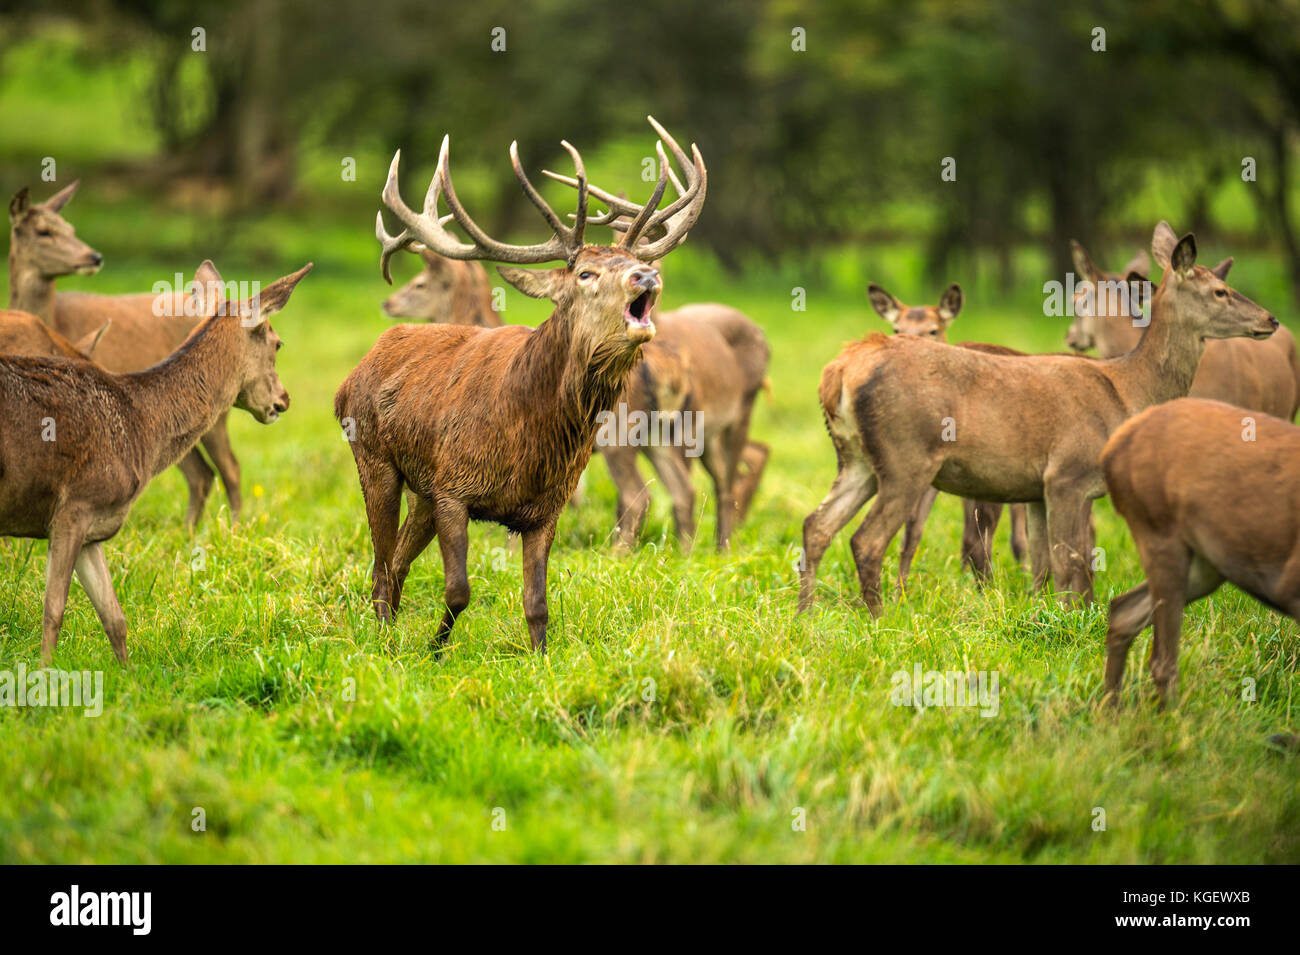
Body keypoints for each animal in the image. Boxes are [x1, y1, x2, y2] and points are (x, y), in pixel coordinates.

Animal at [0, 260, 306, 664]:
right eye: (277, 342)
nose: (283, 400)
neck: (139, 427)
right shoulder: (74, 506)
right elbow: (53, 610)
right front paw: (44, 673)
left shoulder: (94, 527)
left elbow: (114, 617)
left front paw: (127, 674)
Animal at [8, 181, 249, 527]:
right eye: (43, 231)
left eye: (70, 228)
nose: (93, 256)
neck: (57, 321)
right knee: (202, 473)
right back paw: (190, 532)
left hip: (218, 411)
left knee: (230, 468)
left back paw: (234, 529)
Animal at [341, 116, 706, 651]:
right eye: (585, 273)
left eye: (632, 263)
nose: (647, 275)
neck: (528, 435)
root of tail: (353, 374)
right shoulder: (453, 488)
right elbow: (458, 590)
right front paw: (434, 650)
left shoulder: (546, 506)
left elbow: (537, 603)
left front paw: (539, 658)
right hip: (375, 458)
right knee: (381, 564)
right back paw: (385, 634)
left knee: (397, 560)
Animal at [1102, 397, 1300, 706]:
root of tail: (1111, 451)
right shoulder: (1292, 585)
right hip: (1158, 529)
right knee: (1162, 658)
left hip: (1206, 564)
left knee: (1124, 610)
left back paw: (1110, 709)